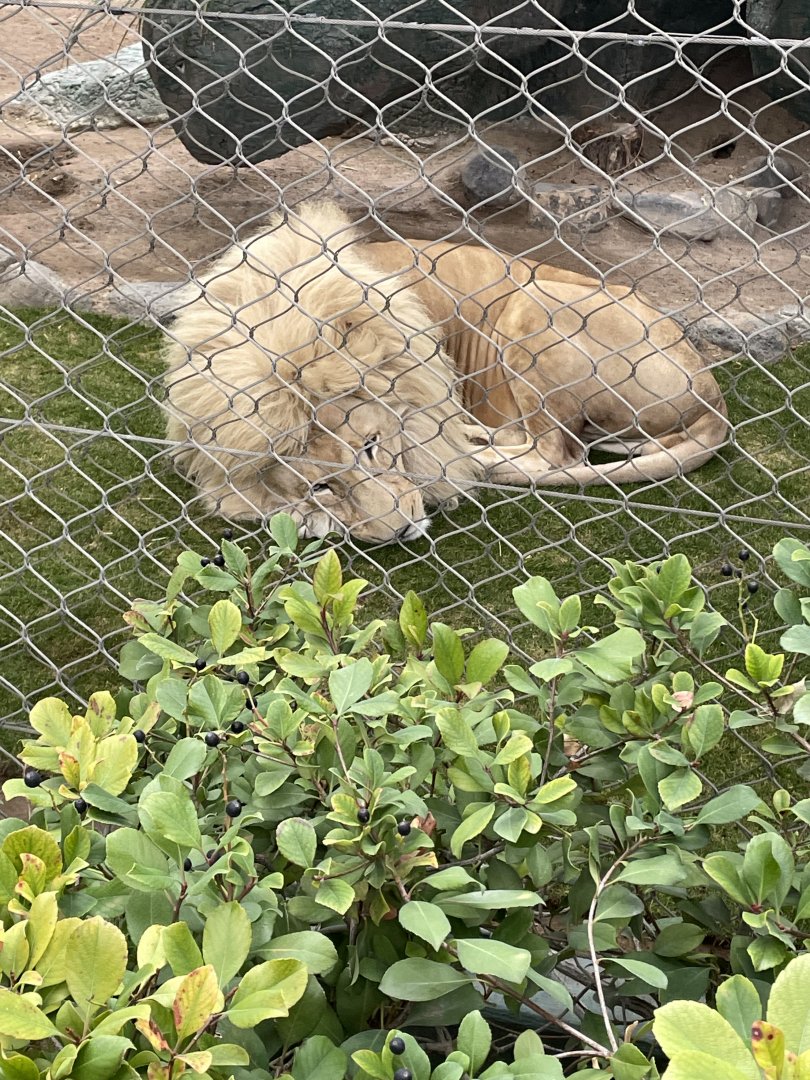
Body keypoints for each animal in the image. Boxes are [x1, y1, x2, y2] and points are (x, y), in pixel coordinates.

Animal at [163, 201, 728, 542]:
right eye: (322, 485)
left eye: (371, 447)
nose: (401, 531)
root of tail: (713, 400)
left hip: (532, 303)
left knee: (556, 454)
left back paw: (475, 455)